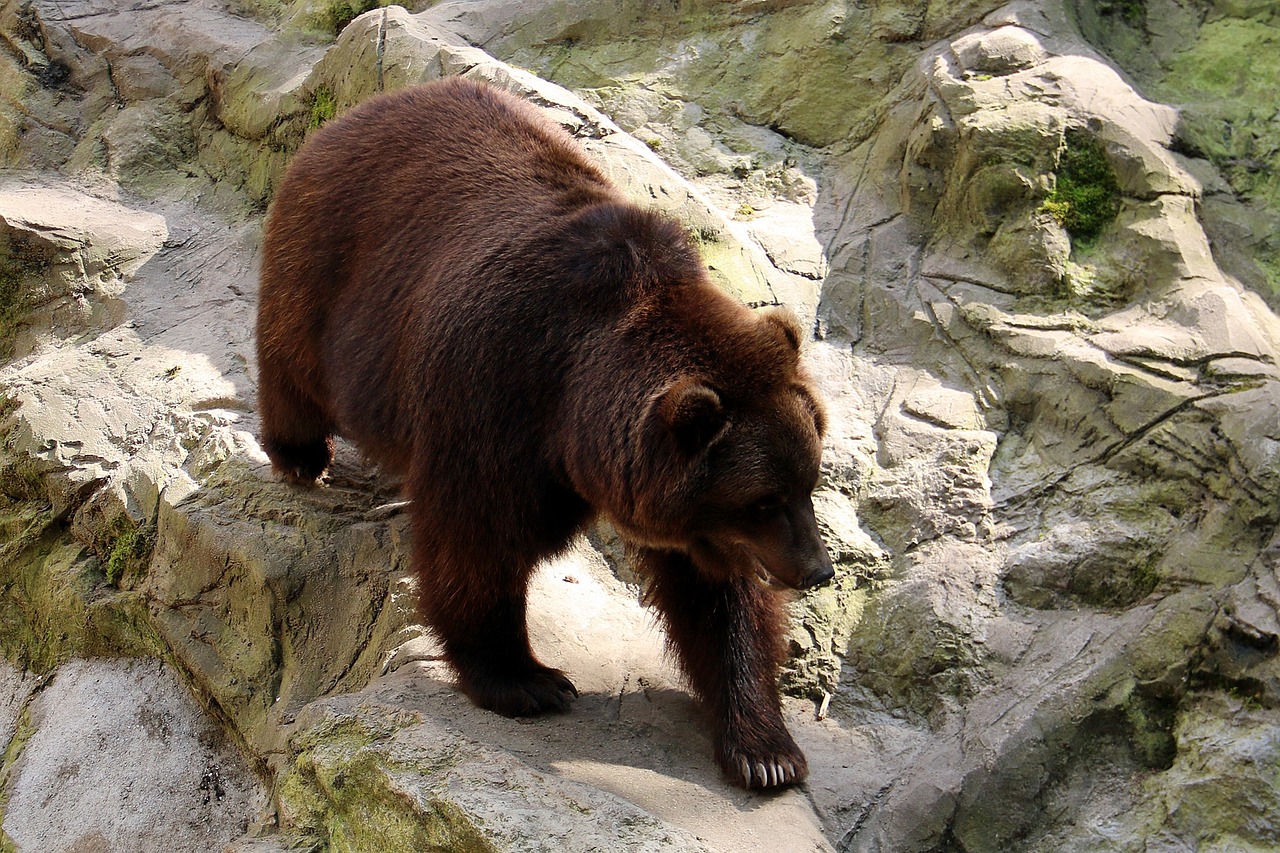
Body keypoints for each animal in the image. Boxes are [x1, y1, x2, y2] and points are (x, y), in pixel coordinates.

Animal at [256, 76, 834, 788]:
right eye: (762, 500)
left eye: (807, 484)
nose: (817, 571)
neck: (573, 406)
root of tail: (365, 107)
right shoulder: (495, 393)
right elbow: (475, 541)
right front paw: (528, 680)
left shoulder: (691, 514)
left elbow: (720, 601)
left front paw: (766, 749)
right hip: (332, 265)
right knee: (294, 361)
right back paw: (299, 454)